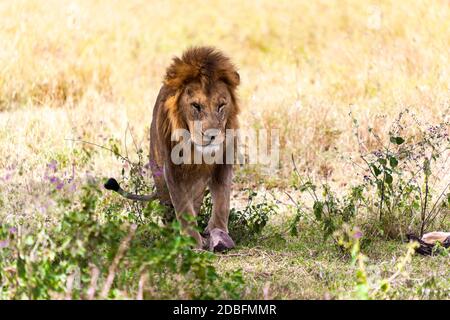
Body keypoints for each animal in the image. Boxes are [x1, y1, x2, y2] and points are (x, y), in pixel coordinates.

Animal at [105, 47, 241, 252]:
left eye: (221, 105)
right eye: (196, 106)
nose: (212, 135)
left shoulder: (223, 163)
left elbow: (222, 202)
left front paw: (219, 236)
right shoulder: (172, 169)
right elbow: (183, 208)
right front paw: (191, 242)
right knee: (168, 208)